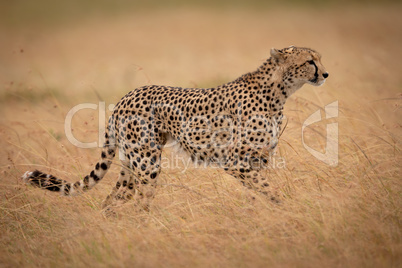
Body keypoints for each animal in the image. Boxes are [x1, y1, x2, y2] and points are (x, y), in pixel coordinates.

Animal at [22, 45, 328, 210]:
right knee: (140, 202)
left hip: (130, 164)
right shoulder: (236, 160)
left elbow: (259, 189)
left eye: (319, 58)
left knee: (113, 200)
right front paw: (285, 207)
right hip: (146, 162)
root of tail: (126, 95)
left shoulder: (258, 159)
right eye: (309, 61)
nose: (325, 73)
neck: (278, 90)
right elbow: (268, 189)